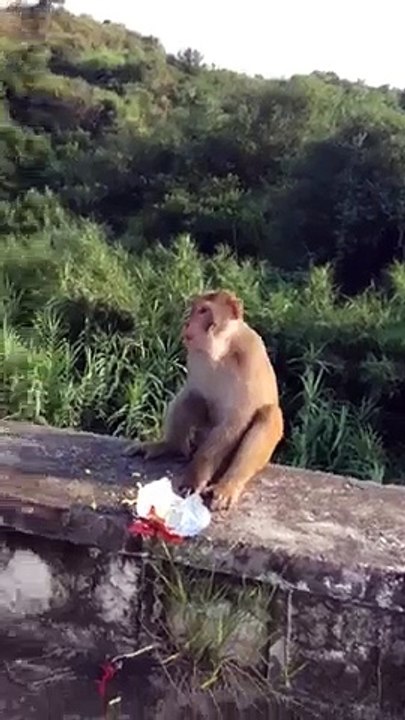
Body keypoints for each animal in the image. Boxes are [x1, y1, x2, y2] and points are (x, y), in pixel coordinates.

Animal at [124, 290, 284, 511]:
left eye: (203, 311)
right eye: (194, 309)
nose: (187, 324)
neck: (222, 350)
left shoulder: (249, 356)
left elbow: (235, 421)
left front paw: (197, 478)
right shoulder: (196, 356)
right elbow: (195, 393)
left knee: (269, 415)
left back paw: (228, 485)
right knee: (191, 398)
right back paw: (170, 446)